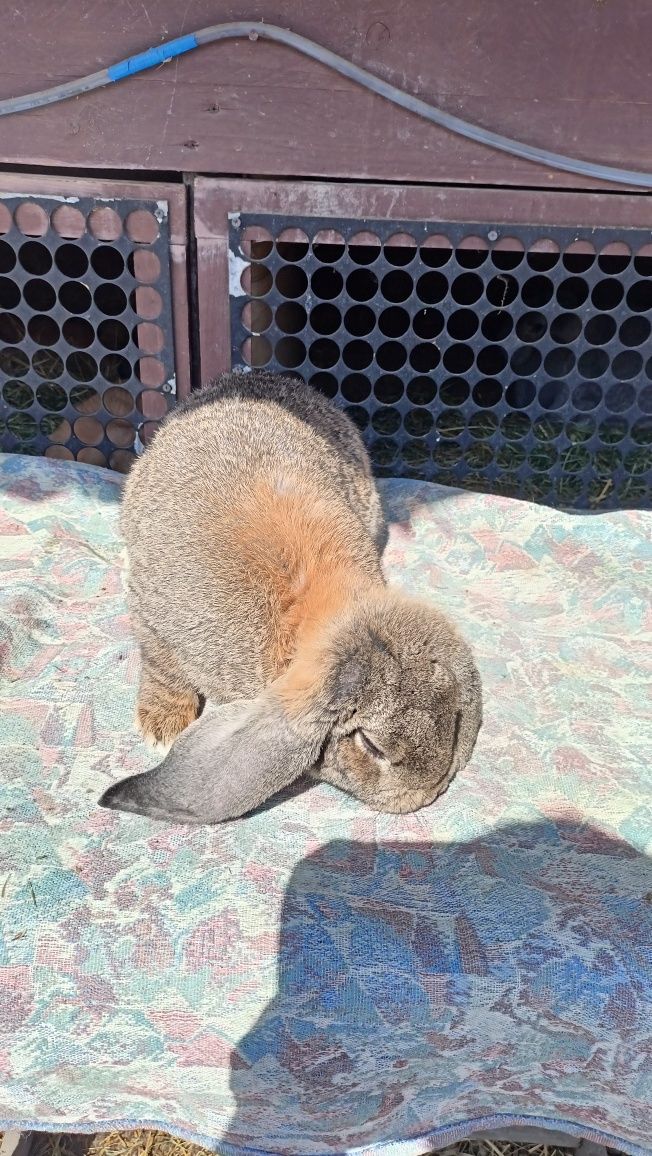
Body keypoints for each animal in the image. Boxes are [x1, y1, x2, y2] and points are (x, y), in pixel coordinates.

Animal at [100, 372, 478, 823]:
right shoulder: (152, 618)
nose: (424, 797)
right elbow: (163, 669)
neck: (305, 616)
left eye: (455, 722)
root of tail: (256, 378)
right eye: (372, 746)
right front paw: (163, 727)